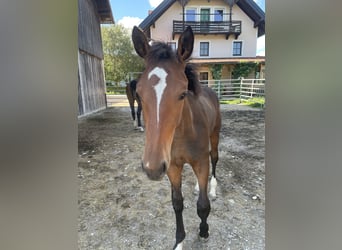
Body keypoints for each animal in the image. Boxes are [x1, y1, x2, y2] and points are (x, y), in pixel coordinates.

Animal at [131, 25, 222, 250]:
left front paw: (204, 231)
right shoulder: (172, 166)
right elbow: (177, 203)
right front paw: (179, 241)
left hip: (215, 136)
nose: (152, 168)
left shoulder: (201, 161)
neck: (181, 135)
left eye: (182, 93)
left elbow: (203, 205)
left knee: (215, 159)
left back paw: (213, 188)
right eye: (139, 93)